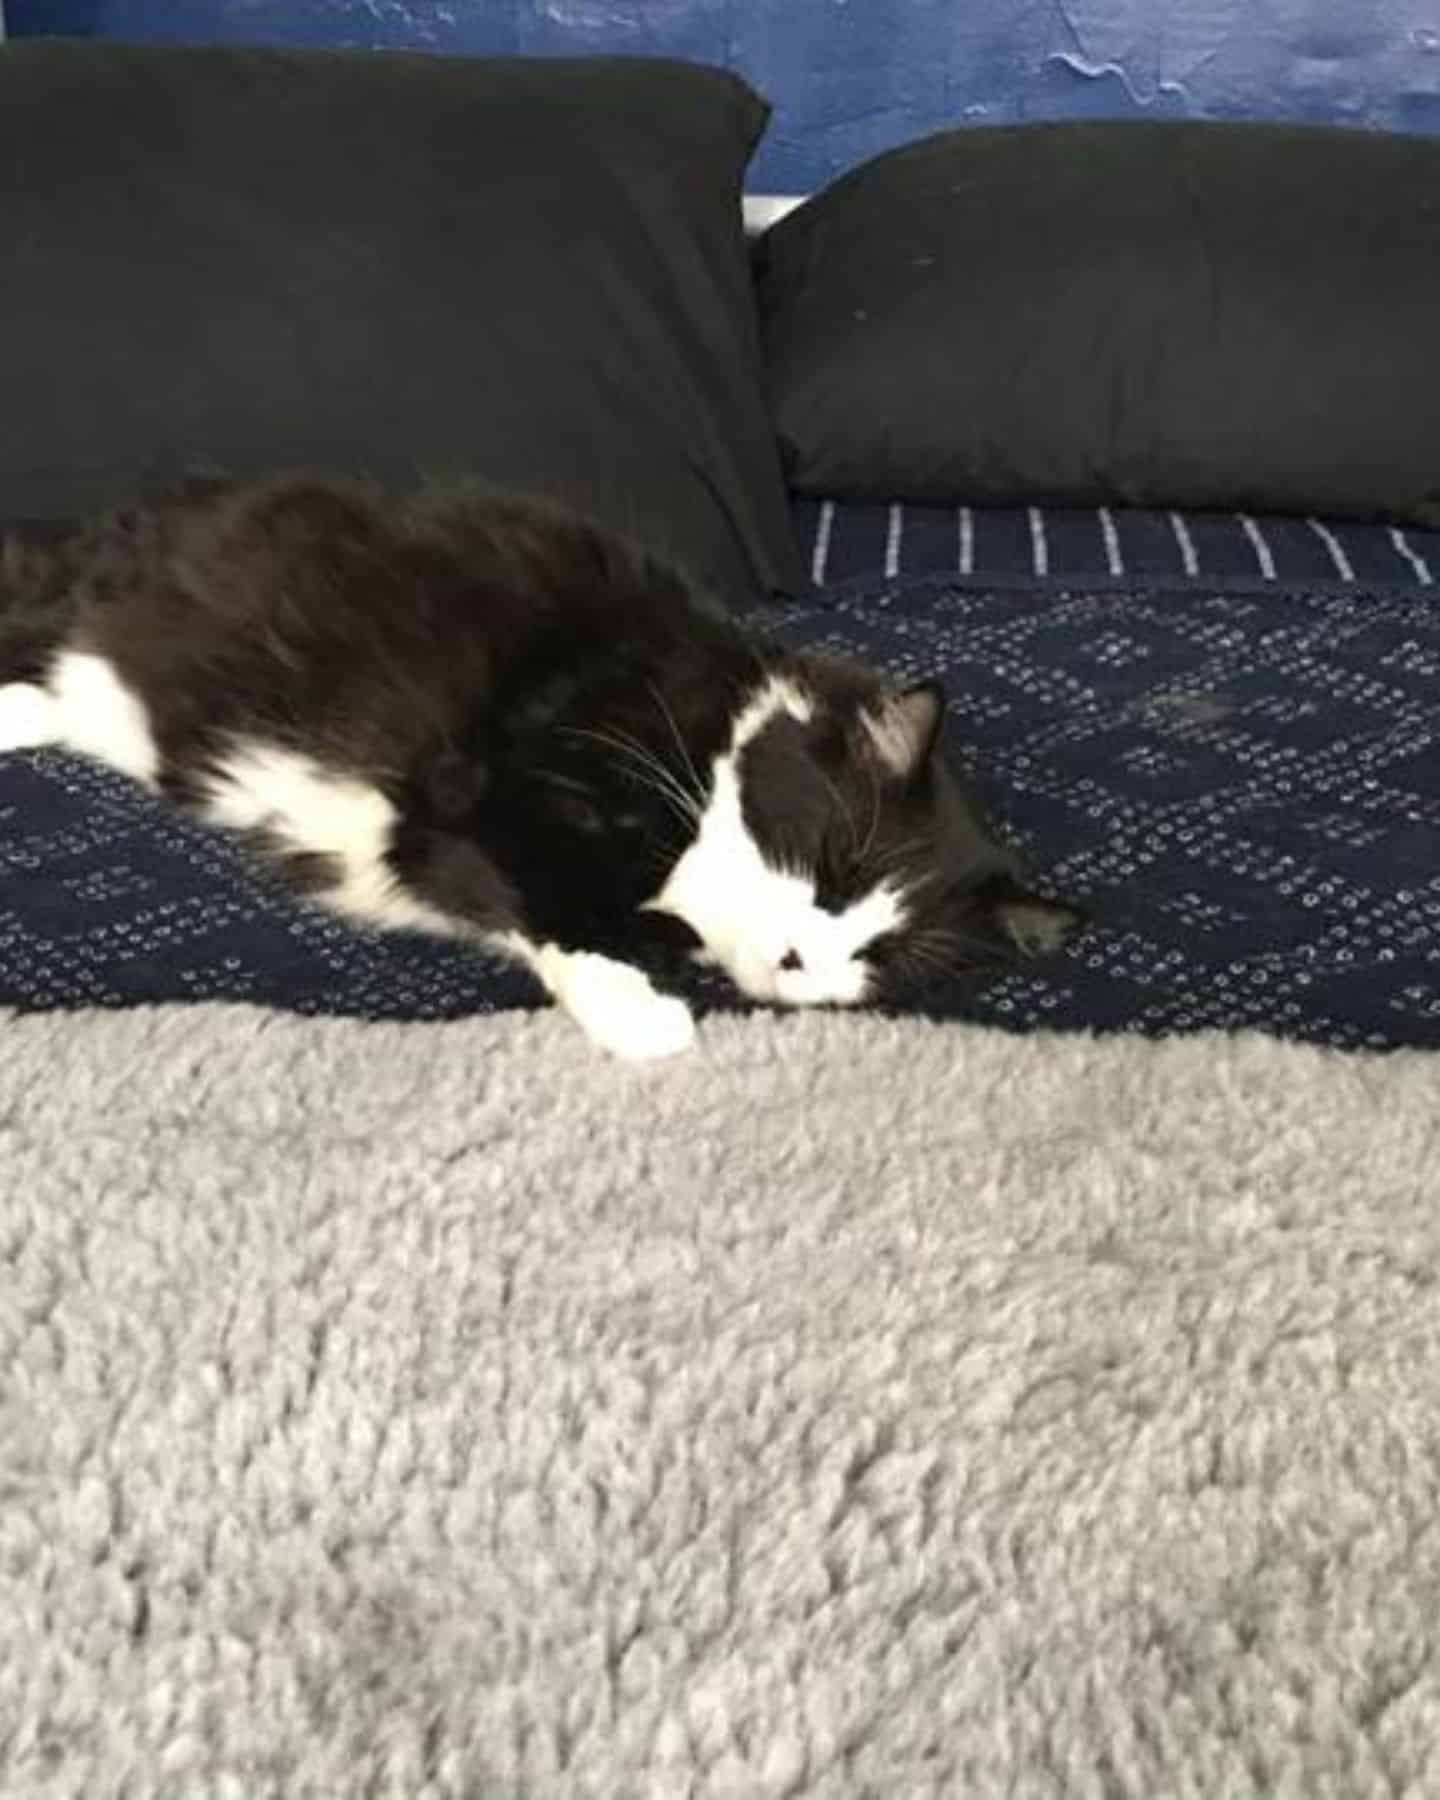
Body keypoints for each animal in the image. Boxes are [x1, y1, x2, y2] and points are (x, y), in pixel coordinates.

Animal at [0, 475, 1080, 1051]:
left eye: (879, 957)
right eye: (834, 865)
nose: (795, 963)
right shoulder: (482, 792)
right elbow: (555, 900)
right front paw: (642, 1019)